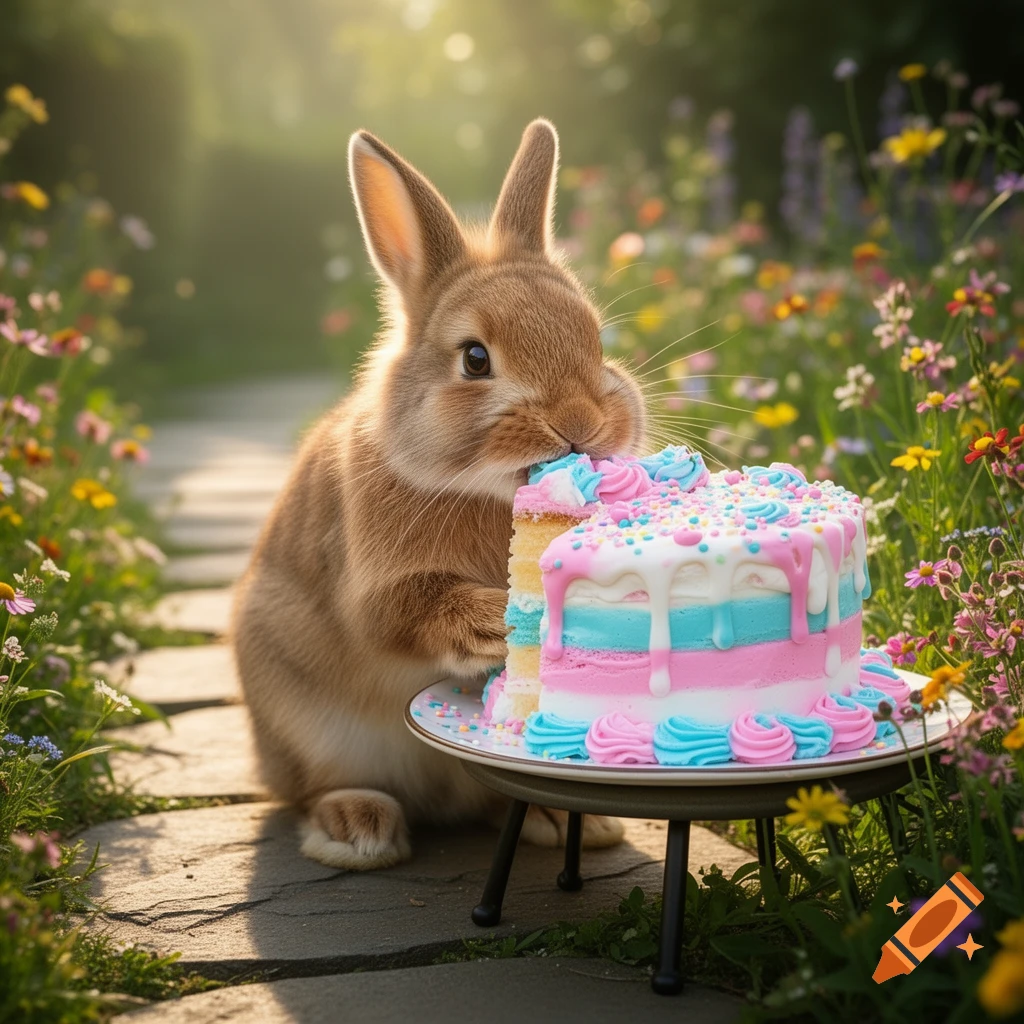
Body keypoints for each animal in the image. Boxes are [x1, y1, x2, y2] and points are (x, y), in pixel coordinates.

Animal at [232, 119, 647, 870]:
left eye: (598, 342)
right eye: (475, 359)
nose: (580, 423)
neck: (486, 489)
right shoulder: (374, 585)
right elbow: (400, 613)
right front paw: (493, 622)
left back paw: (570, 819)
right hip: (303, 723)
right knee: (312, 790)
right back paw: (357, 830)